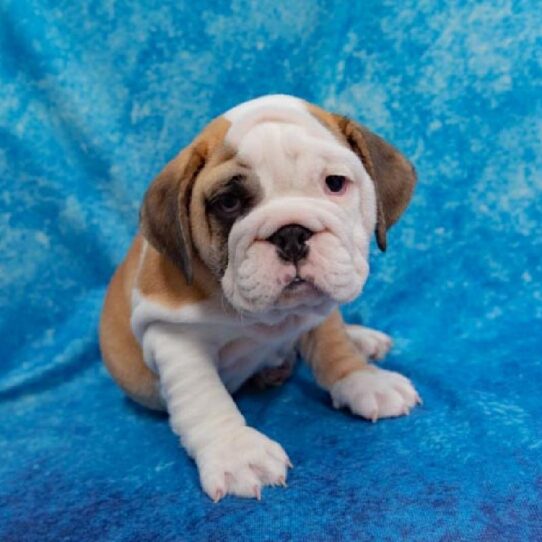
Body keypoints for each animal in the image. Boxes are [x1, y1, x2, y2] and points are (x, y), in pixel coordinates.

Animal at [100, 95, 422, 504]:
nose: (291, 233)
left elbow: (333, 345)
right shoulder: (172, 335)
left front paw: (363, 379)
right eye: (228, 203)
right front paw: (236, 452)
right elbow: (202, 396)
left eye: (335, 184)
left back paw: (361, 340)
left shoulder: (318, 308)